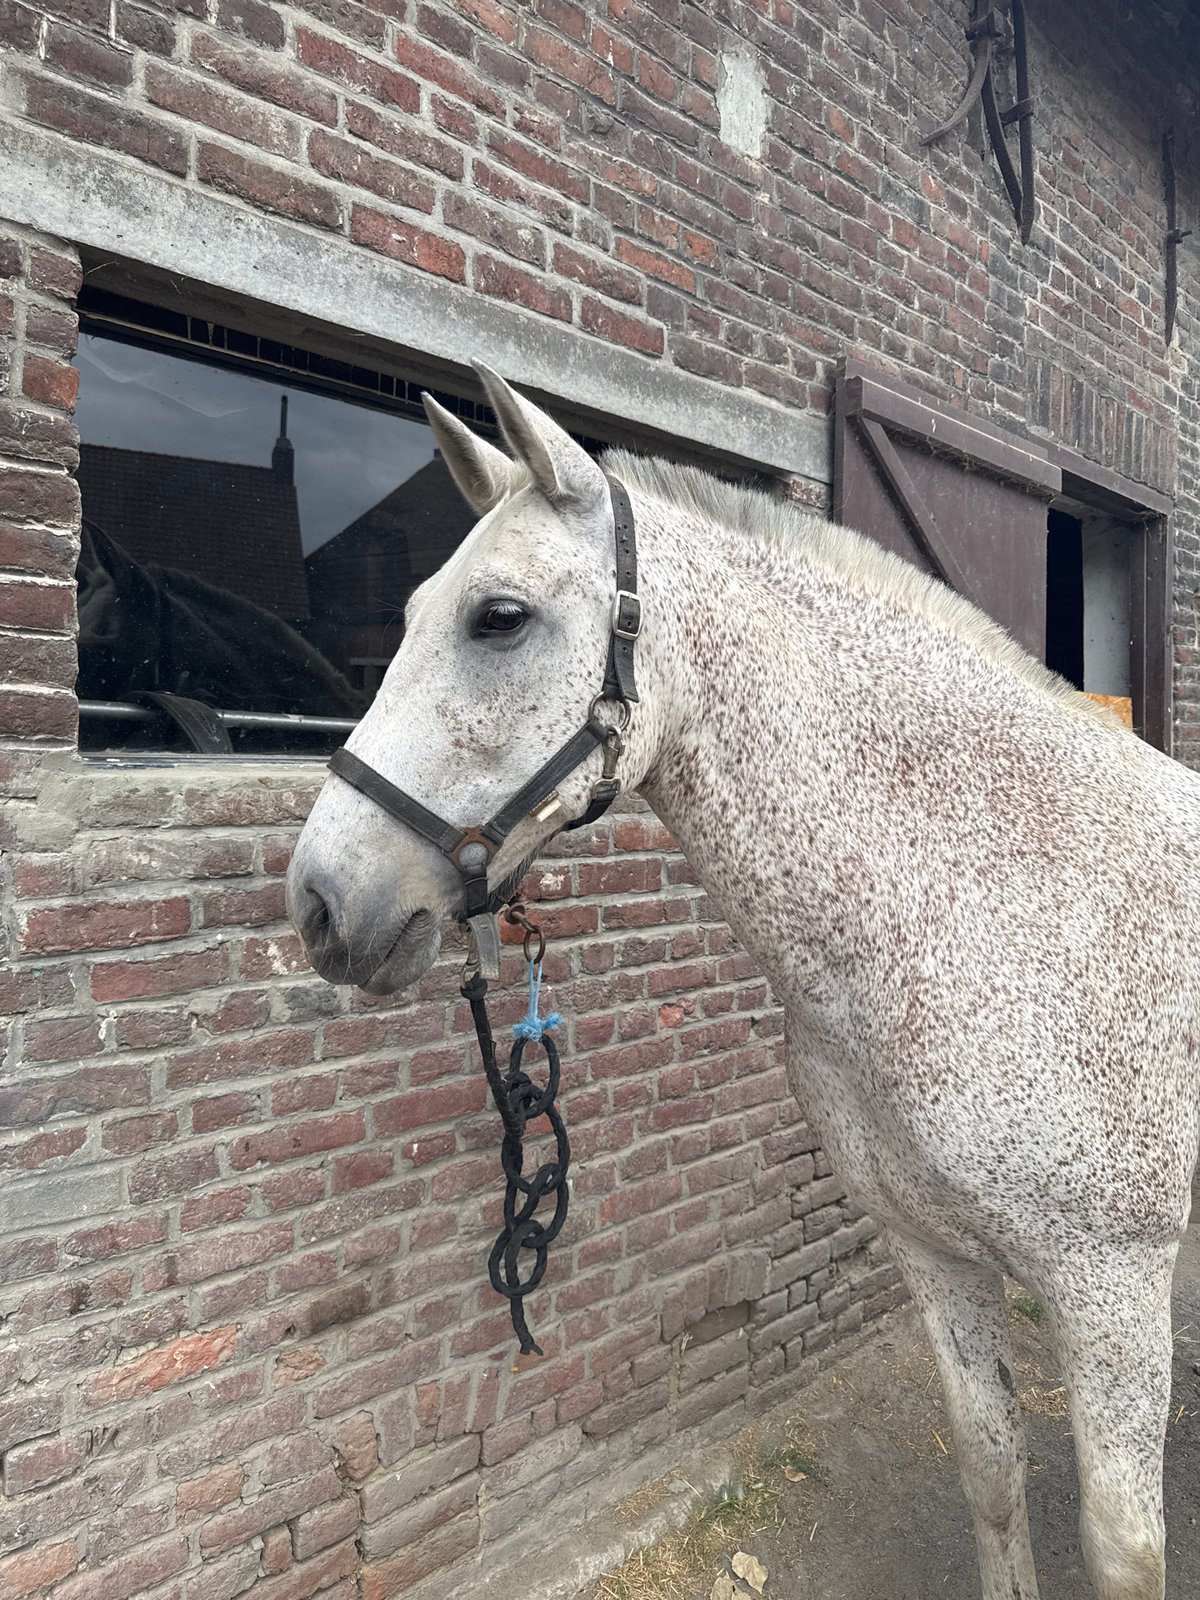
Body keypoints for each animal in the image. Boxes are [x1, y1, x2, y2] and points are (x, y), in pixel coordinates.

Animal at [286, 366, 1200, 1600]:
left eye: (499, 617)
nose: (322, 904)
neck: (995, 904)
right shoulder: (933, 1255)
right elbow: (990, 1463)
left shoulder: (1113, 1292)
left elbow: (1124, 1549)